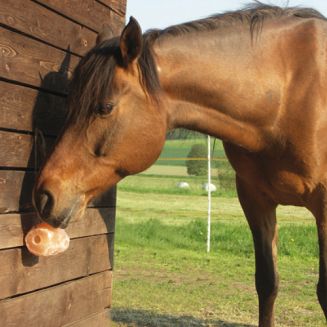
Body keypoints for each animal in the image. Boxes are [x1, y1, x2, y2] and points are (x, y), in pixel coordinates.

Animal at [33, 3, 327, 327]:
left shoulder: (324, 206)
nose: (44, 195)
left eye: (104, 107)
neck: (284, 97)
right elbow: (267, 282)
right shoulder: (255, 201)